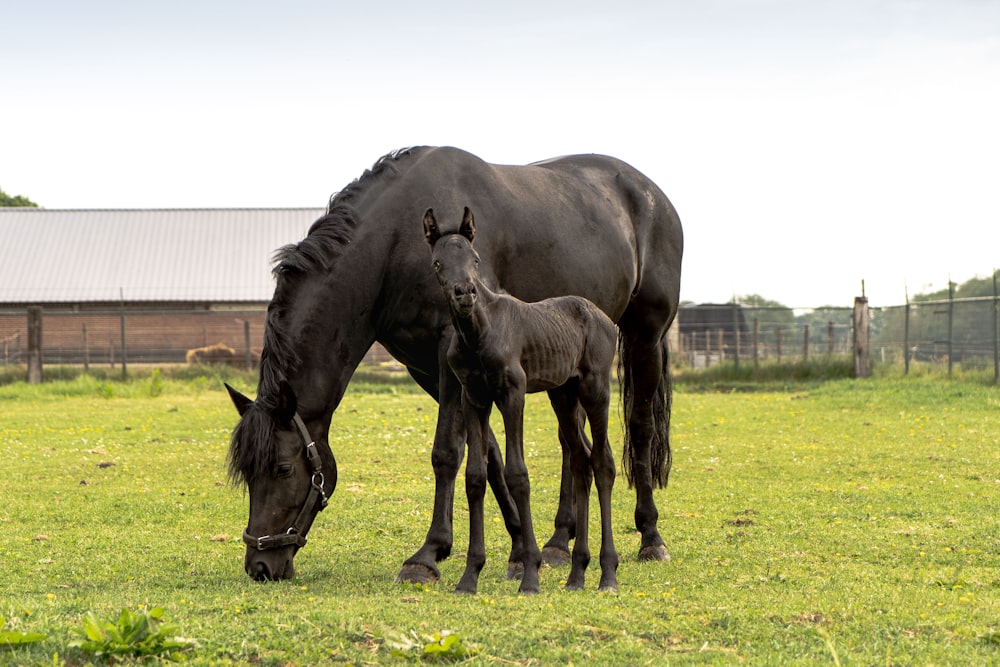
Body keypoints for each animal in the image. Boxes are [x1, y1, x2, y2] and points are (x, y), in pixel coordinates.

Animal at [228, 146, 684, 584]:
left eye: (284, 469)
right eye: (247, 474)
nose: (260, 566)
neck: (393, 242)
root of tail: (655, 197)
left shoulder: (453, 355)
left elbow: (447, 451)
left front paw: (428, 555)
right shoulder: (438, 370)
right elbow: (489, 454)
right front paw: (519, 551)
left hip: (644, 339)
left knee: (639, 429)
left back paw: (650, 537)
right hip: (564, 377)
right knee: (575, 447)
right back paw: (558, 543)